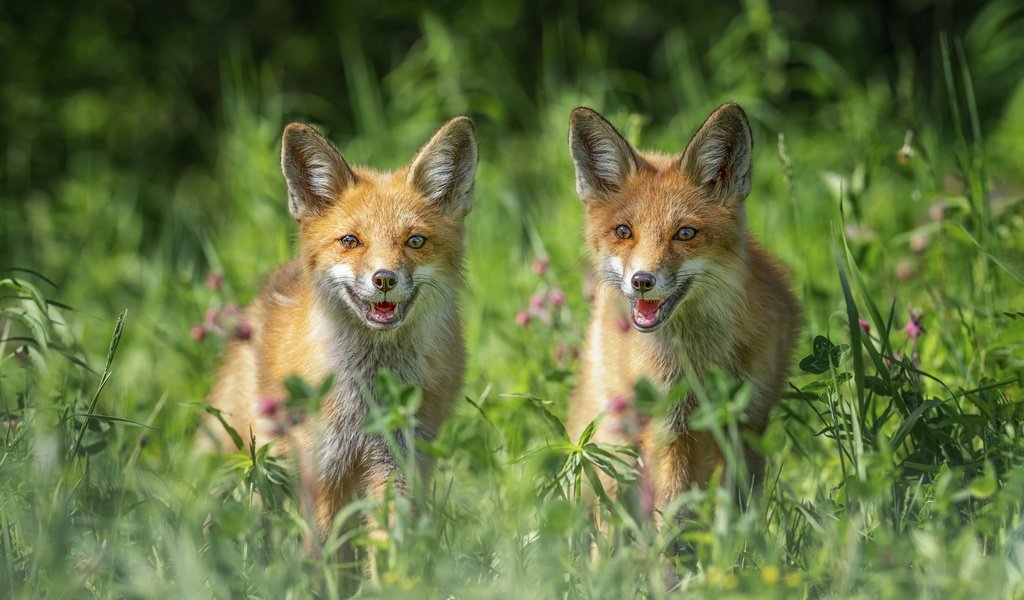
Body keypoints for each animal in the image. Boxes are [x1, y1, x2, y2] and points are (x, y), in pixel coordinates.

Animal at [205, 115, 481, 540]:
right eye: (350, 241)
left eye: (415, 241)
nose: (384, 278)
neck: (367, 394)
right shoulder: (324, 469)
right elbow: (327, 550)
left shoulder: (397, 461)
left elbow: (390, 544)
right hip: (257, 461)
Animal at [569, 106, 798, 518]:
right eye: (623, 231)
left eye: (685, 233)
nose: (642, 281)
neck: (701, 359)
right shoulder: (668, 426)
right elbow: (674, 511)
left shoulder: (747, 420)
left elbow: (739, 506)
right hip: (615, 447)